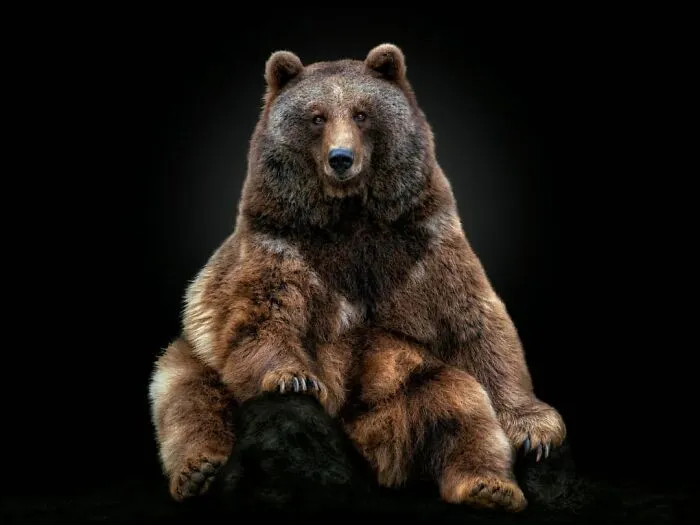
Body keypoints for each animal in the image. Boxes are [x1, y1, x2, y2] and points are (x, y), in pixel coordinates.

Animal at [148, 43, 567, 512]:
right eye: (316, 117)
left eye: (362, 113)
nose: (341, 159)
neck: (349, 216)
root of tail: (372, 450)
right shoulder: (280, 242)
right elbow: (261, 314)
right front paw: (294, 377)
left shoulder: (422, 243)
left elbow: (475, 323)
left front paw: (536, 430)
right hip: (192, 355)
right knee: (187, 396)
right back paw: (197, 469)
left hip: (406, 388)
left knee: (457, 402)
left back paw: (489, 486)